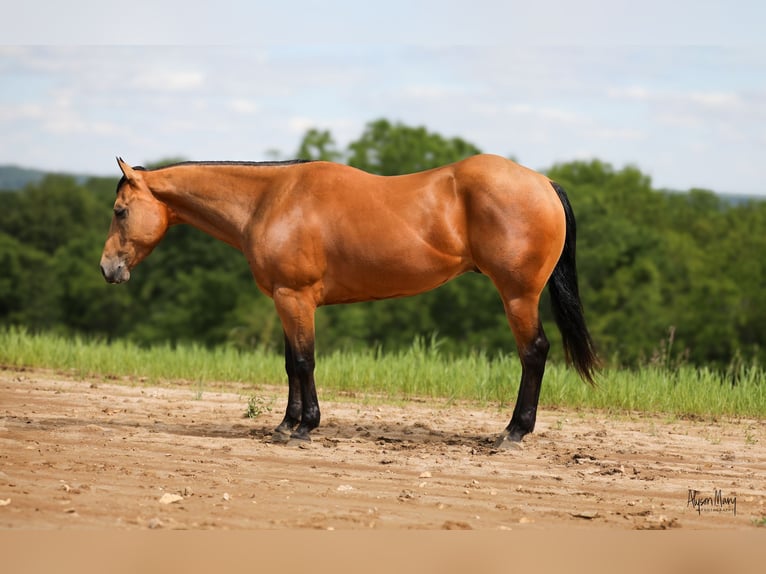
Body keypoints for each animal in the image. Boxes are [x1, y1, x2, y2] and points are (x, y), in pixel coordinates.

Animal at [99, 155, 600, 448]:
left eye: (120, 211)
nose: (108, 269)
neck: (269, 199)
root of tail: (544, 182)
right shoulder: (286, 301)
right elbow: (291, 364)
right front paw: (286, 424)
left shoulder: (295, 298)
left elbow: (304, 362)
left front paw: (304, 427)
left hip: (518, 296)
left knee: (534, 353)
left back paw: (514, 431)